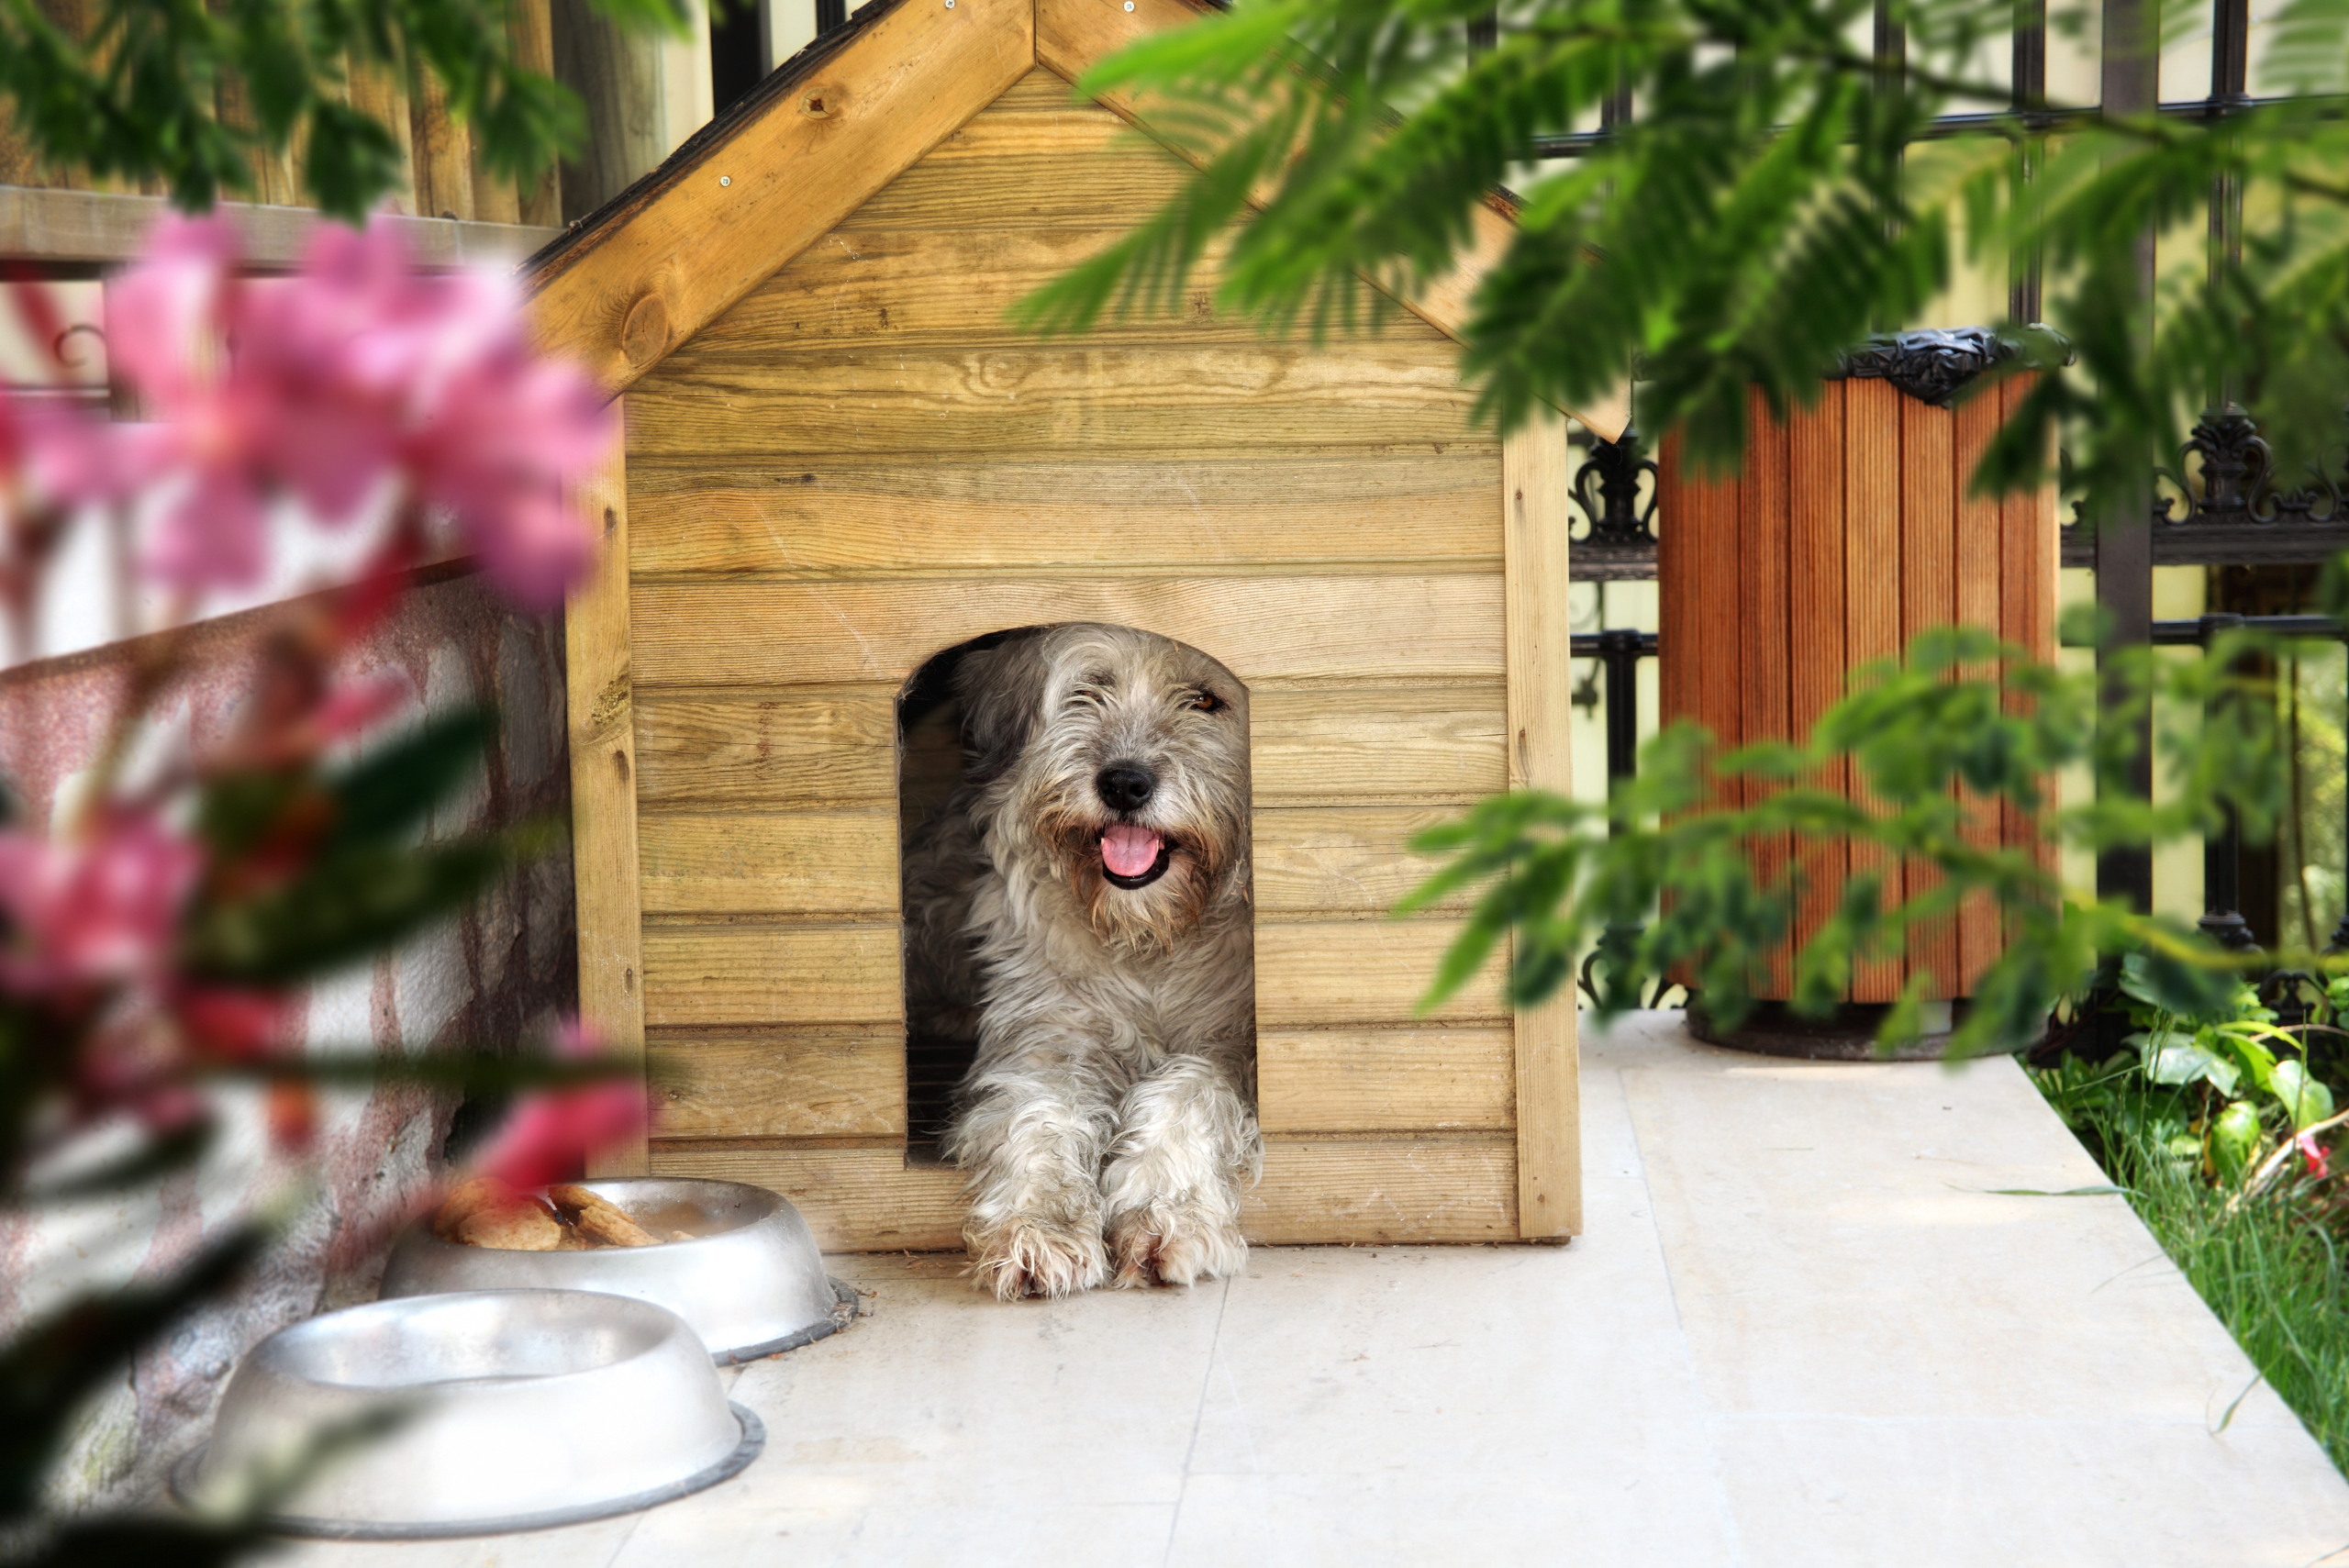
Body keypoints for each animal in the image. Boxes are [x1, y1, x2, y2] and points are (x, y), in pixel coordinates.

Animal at [902, 624, 1268, 1296]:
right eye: (1090, 690)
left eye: (1205, 700)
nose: (1124, 782)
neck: (1150, 935)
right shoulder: (1048, 1033)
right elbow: (1038, 1115)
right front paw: (1041, 1225)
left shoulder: (1233, 1044)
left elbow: (1187, 1097)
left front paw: (1166, 1214)